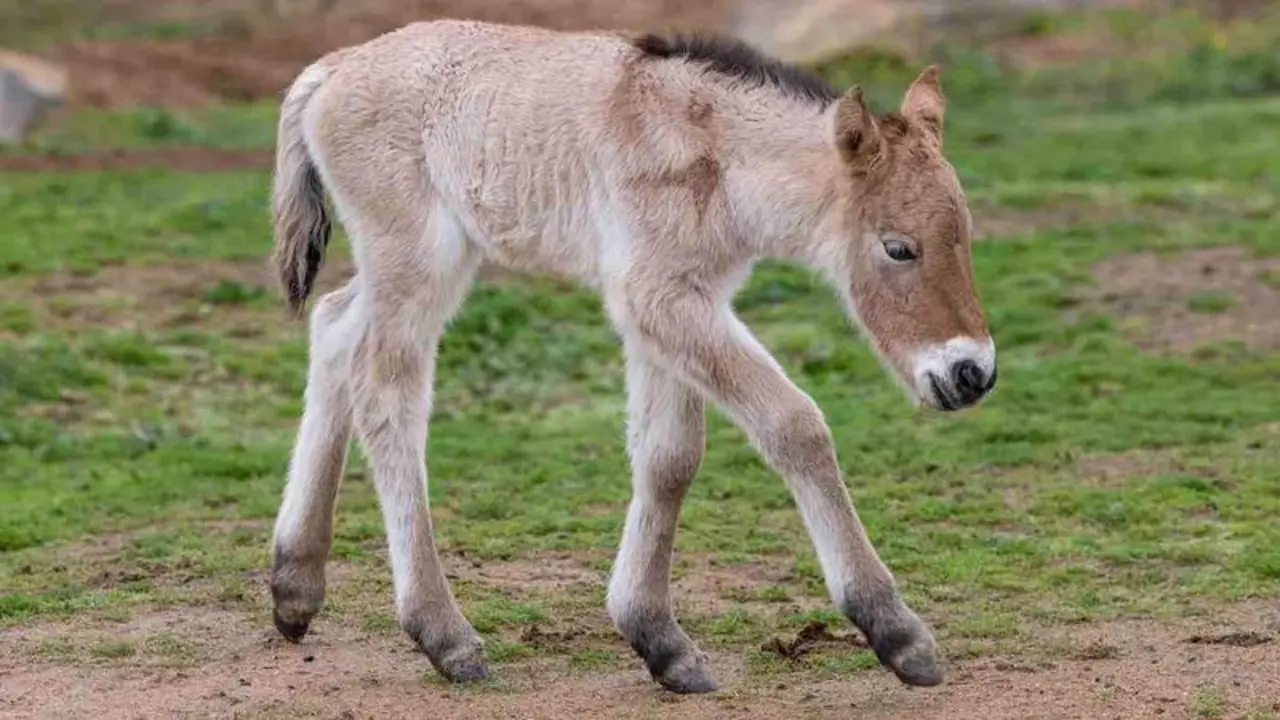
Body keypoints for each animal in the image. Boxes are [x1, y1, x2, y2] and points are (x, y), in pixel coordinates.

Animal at [266, 19, 996, 694]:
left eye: (964, 232)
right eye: (898, 248)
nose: (972, 374)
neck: (717, 155)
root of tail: (333, 68)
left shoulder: (678, 304)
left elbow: (669, 457)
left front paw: (659, 640)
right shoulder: (658, 296)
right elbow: (794, 425)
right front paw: (895, 631)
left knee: (333, 327)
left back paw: (294, 586)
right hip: (416, 257)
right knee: (386, 396)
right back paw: (444, 635)